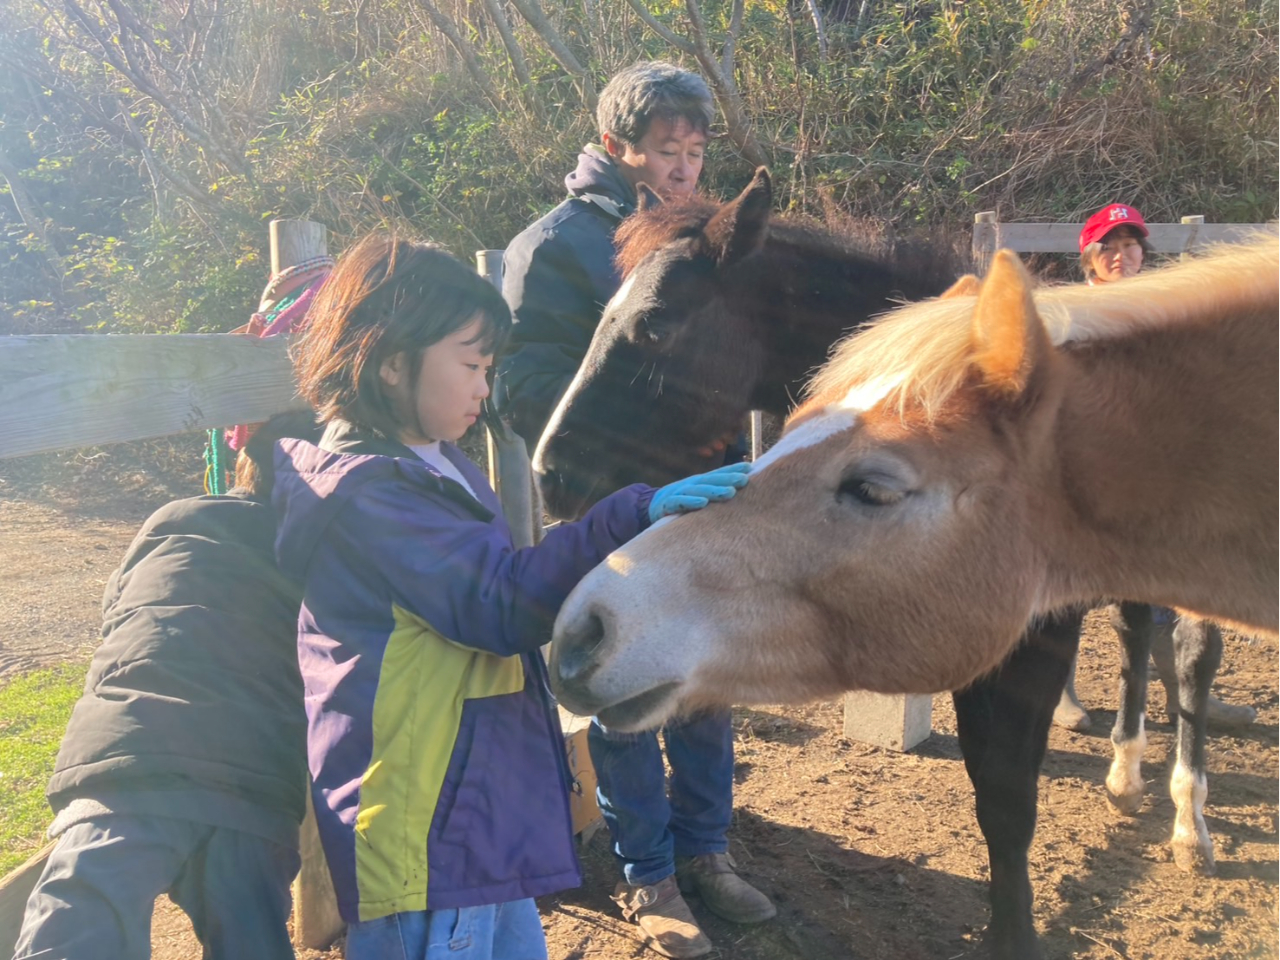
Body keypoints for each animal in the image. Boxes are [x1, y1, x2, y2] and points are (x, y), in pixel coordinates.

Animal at [548, 235, 1279, 959]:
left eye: (654, 325)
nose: (581, 630)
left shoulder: (1035, 640)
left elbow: (1008, 797)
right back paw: (1126, 776)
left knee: (1188, 654)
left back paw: (1188, 820)